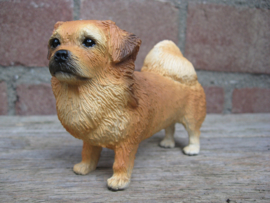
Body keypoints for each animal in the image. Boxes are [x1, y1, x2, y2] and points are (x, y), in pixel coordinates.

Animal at [47, 20, 206, 190]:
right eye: (54, 42)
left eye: (89, 41)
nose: (60, 53)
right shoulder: (90, 139)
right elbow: (88, 154)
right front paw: (84, 168)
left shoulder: (127, 142)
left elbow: (121, 164)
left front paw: (119, 181)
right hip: (168, 116)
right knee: (170, 127)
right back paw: (167, 143)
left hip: (191, 118)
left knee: (194, 133)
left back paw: (192, 149)